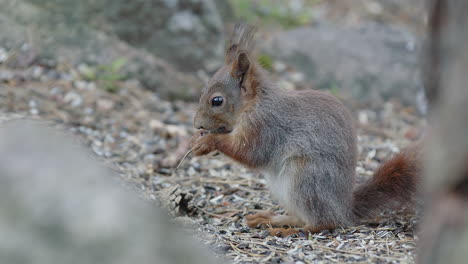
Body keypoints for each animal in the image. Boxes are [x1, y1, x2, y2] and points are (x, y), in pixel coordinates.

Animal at [189, 23, 420, 236]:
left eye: (217, 101)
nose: (197, 124)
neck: (253, 104)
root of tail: (345, 209)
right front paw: (198, 139)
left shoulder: (265, 126)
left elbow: (249, 152)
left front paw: (208, 141)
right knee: (300, 216)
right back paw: (271, 218)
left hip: (306, 179)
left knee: (323, 222)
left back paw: (288, 230)